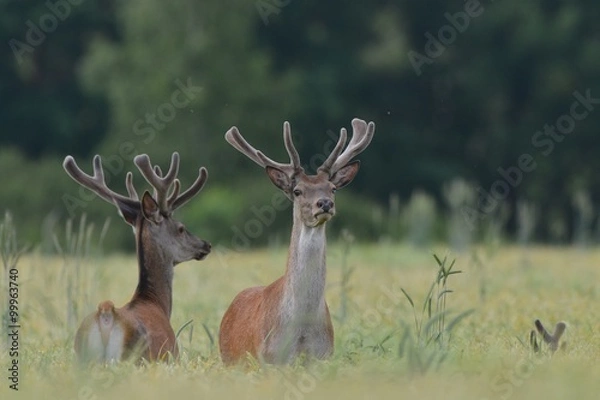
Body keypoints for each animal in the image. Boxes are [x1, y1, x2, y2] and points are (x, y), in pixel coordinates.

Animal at [63, 152, 212, 362]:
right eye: (181, 228)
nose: (205, 245)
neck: (155, 303)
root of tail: (106, 316)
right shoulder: (172, 354)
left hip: (81, 356)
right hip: (136, 357)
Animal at [216, 117, 376, 364]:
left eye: (333, 188)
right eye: (298, 191)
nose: (325, 203)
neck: (302, 330)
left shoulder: (324, 356)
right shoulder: (269, 359)